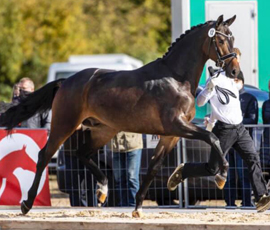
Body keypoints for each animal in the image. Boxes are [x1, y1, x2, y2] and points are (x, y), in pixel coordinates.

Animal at [1, 14, 239, 217]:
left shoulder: (170, 135)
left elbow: (153, 168)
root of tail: (66, 81)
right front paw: (221, 175)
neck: (176, 78)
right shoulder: (177, 126)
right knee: (44, 156)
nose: (235, 71)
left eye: (233, 38)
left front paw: (138, 207)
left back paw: (102, 189)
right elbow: (213, 138)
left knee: (81, 153)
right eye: (220, 40)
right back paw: (26, 203)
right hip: (65, 125)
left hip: (104, 130)